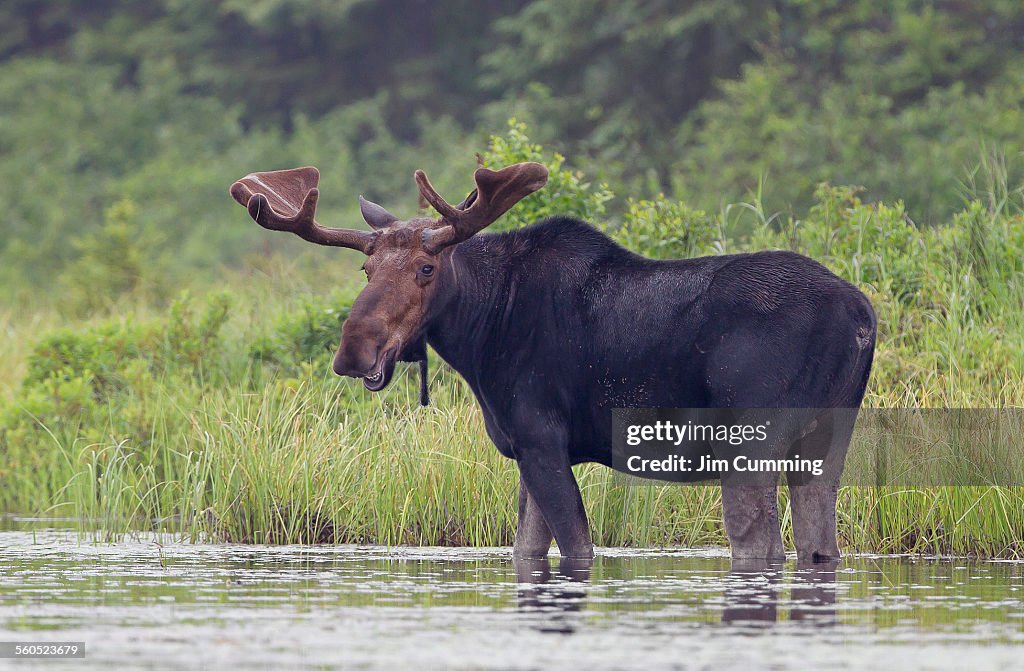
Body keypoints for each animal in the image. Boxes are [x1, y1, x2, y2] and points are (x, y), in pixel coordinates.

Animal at [228, 159, 876, 565]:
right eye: (365, 269)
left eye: (427, 268)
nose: (353, 350)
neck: (481, 334)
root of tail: (863, 316)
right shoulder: (524, 448)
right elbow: (525, 551)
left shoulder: (542, 438)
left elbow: (578, 547)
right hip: (828, 437)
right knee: (820, 546)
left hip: (751, 438)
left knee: (761, 546)